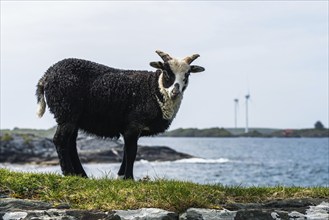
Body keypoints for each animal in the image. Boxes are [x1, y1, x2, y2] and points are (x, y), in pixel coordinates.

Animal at [36, 50, 205, 180]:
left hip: (71, 116)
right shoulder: (134, 124)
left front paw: (121, 175)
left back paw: (81, 175)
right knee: (60, 140)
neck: (154, 89)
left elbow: (125, 151)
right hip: (67, 110)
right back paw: (68, 173)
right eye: (166, 72)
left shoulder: (131, 128)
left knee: (71, 143)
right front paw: (129, 178)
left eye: (187, 74)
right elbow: (131, 152)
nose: (175, 92)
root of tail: (46, 75)